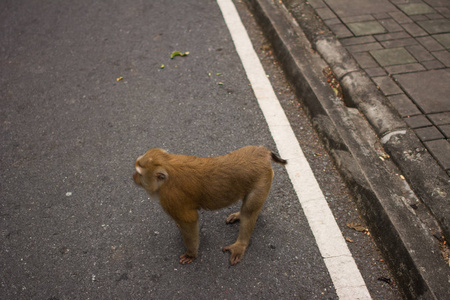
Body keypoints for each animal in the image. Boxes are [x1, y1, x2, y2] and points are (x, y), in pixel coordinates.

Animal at [134, 145, 286, 264]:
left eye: (140, 174)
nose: (133, 177)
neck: (167, 164)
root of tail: (262, 152)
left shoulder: (170, 198)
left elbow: (189, 221)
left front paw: (191, 254)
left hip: (262, 180)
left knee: (249, 212)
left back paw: (240, 244)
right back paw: (240, 215)